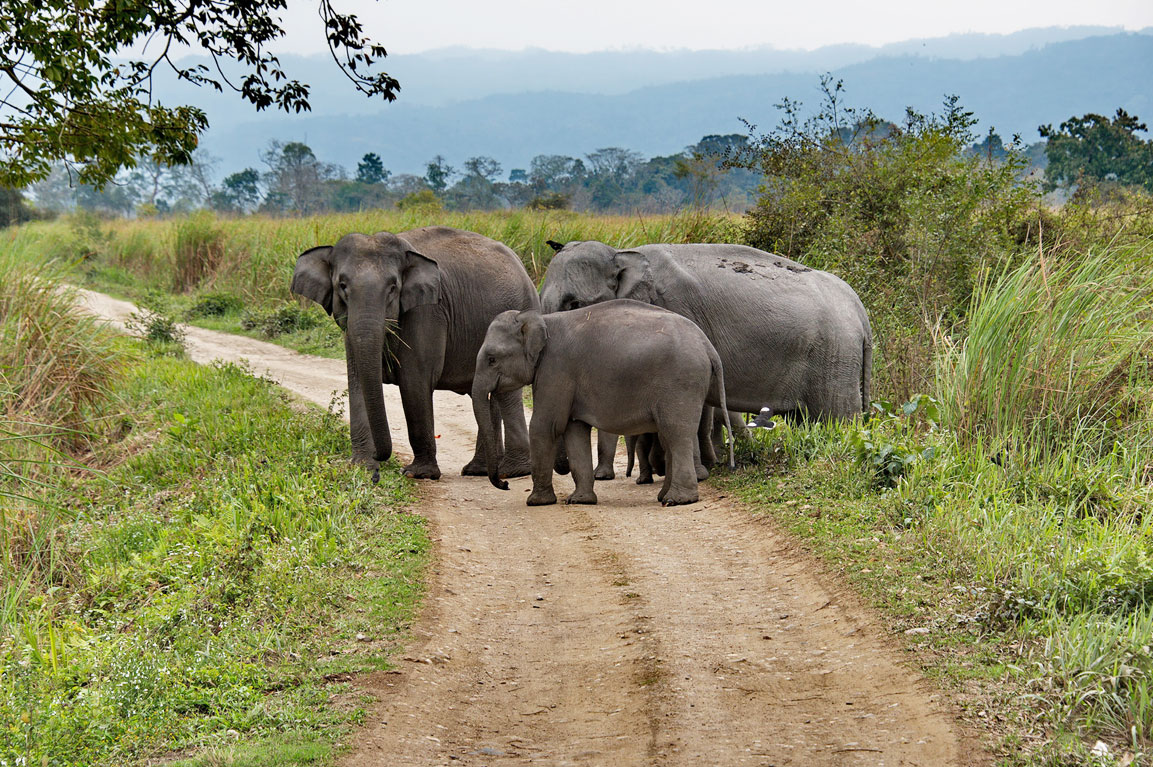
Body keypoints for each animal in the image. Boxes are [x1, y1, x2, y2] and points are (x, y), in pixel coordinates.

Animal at [288, 224, 539, 482]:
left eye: (393, 288)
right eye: (342, 286)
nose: (381, 461)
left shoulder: (428, 311)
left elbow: (414, 381)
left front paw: (417, 474)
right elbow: (357, 380)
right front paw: (361, 466)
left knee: (504, 393)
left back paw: (512, 470)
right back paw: (478, 470)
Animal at [470, 299, 733, 507]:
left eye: (492, 359)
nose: (505, 484)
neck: (540, 319)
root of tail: (708, 346)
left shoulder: (556, 369)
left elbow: (546, 426)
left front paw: (536, 502)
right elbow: (574, 430)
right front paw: (580, 501)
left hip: (681, 383)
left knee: (676, 433)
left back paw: (676, 500)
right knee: (669, 436)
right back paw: (664, 496)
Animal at [541, 239, 871, 422]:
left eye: (574, 304)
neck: (622, 254)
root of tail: (860, 309)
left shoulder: (677, 308)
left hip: (835, 355)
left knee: (835, 418)